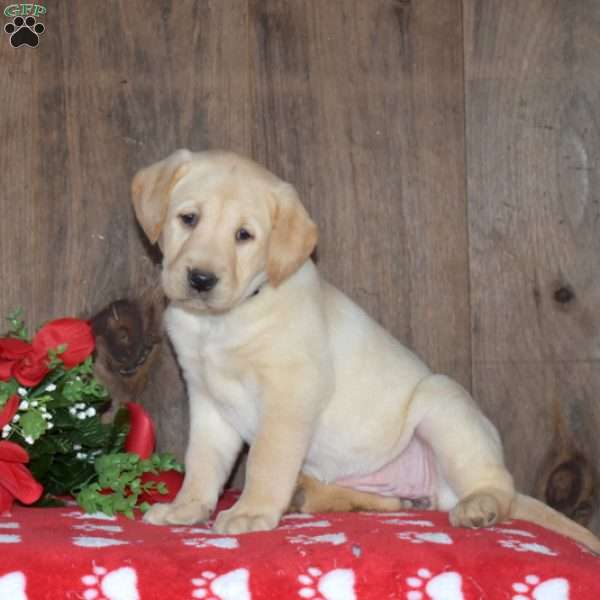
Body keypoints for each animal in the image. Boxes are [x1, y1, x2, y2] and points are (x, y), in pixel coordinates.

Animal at [132, 151, 600, 552]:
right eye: (188, 218)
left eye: (244, 235)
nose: (201, 279)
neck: (221, 322)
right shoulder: (208, 401)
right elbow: (202, 462)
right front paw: (186, 507)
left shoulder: (290, 396)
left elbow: (266, 460)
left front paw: (251, 511)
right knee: (384, 500)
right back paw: (314, 494)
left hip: (443, 406)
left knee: (497, 485)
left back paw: (478, 507)